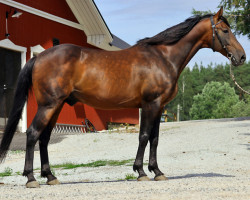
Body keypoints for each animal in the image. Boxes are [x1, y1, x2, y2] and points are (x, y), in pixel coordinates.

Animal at [0, 7, 246, 187]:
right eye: (225, 30)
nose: (242, 57)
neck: (162, 57)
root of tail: (39, 58)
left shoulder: (159, 107)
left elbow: (155, 139)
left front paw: (157, 171)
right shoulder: (151, 104)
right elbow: (144, 136)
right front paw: (141, 171)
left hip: (57, 106)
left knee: (44, 138)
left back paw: (50, 177)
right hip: (49, 105)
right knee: (33, 134)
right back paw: (31, 178)